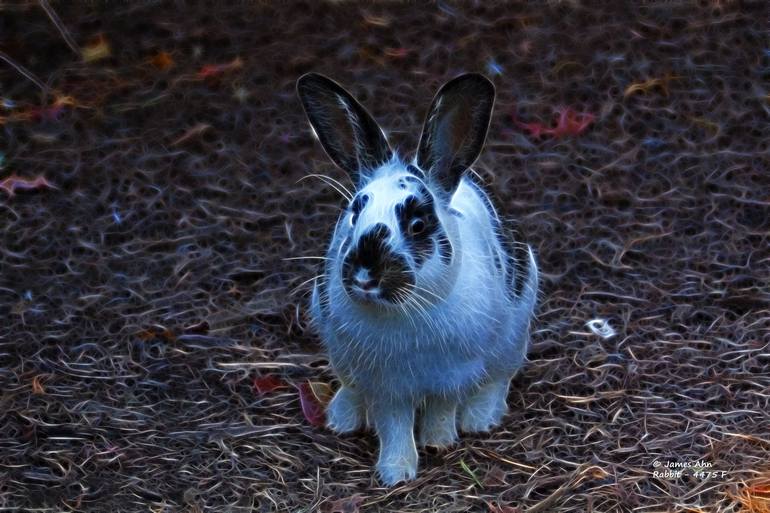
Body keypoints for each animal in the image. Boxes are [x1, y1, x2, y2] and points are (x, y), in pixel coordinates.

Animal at [296, 72, 536, 484]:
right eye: (353, 214)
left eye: (418, 224)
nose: (365, 275)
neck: (403, 313)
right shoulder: (385, 384)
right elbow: (393, 424)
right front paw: (397, 471)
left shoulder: (452, 373)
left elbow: (442, 407)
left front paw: (439, 442)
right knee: (349, 386)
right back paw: (342, 418)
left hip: (513, 336)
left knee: (497, 380)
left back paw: (480, 420)